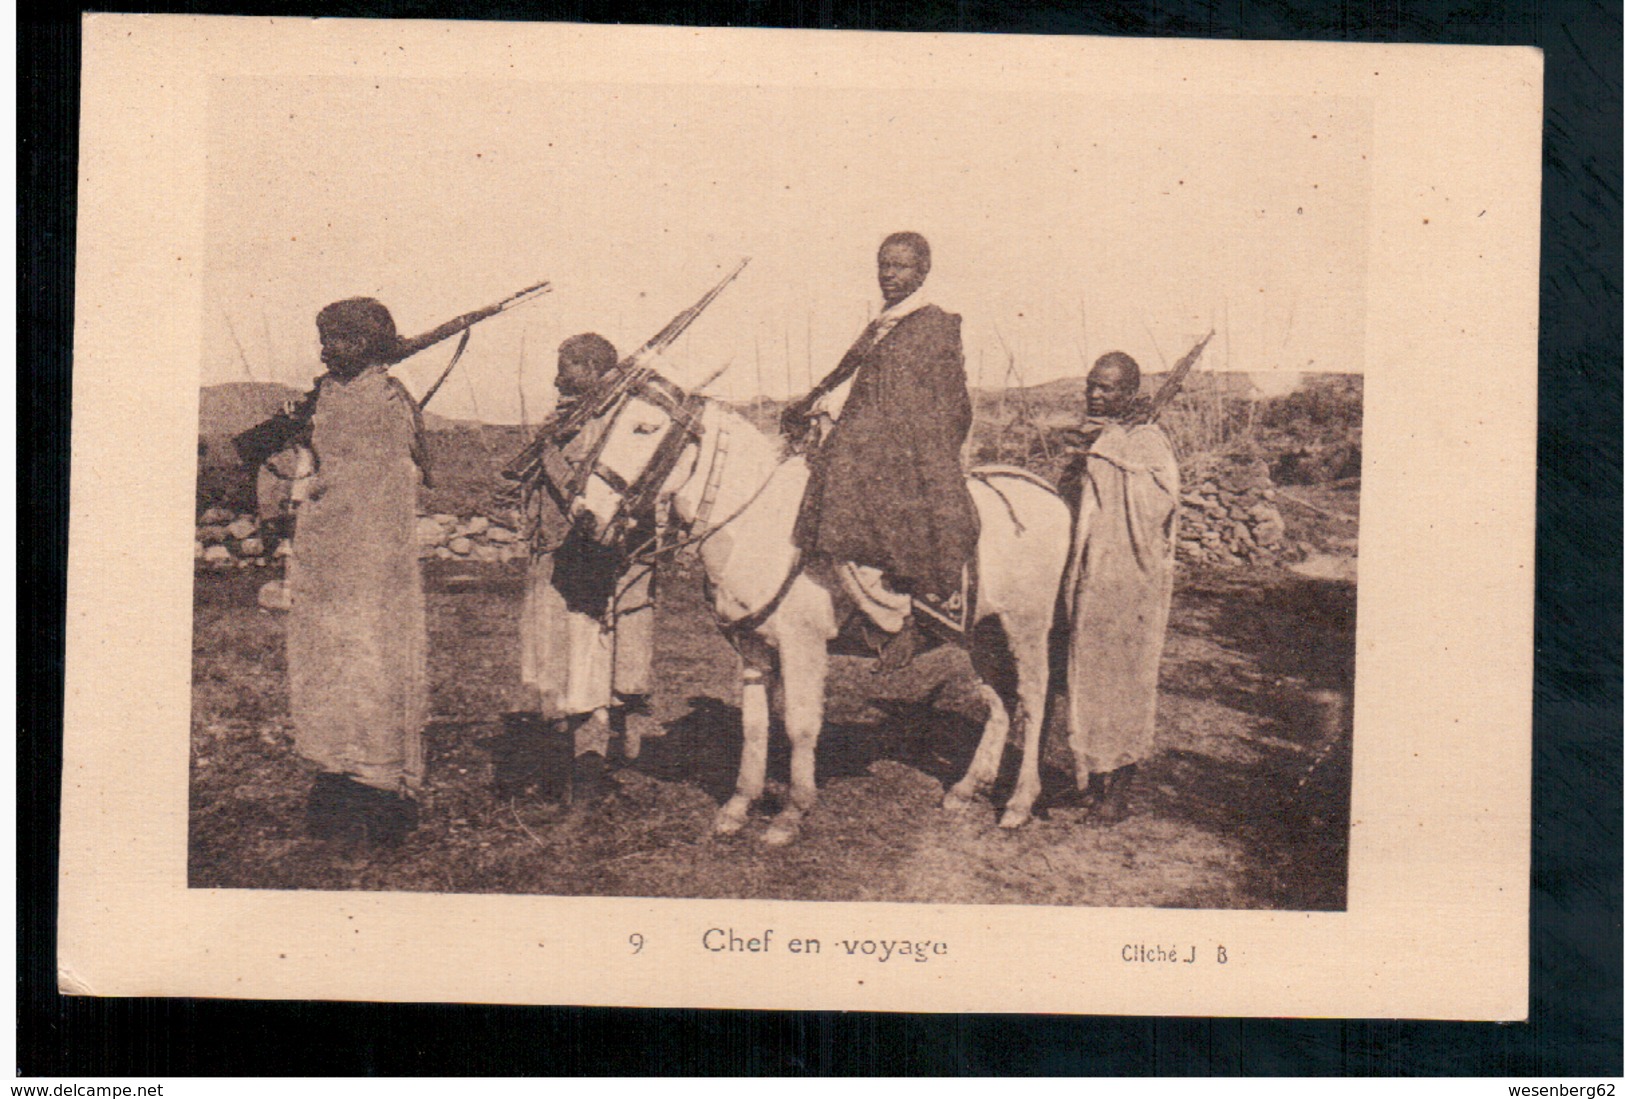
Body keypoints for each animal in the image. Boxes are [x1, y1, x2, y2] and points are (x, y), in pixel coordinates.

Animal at [565, 373, 1072, 845]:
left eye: (645, 428)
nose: (583, 514)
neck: (758, 525)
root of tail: (1047, 491)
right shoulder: (752, 649)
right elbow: (754, 726)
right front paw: (738, 807)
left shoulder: (802, 646)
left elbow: (800, 726)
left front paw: (792, 813)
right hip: (981, 632)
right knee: (1001, 702)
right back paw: (967, 788)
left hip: (1026, 627)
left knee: (1034, 700)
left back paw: (1019, 803)